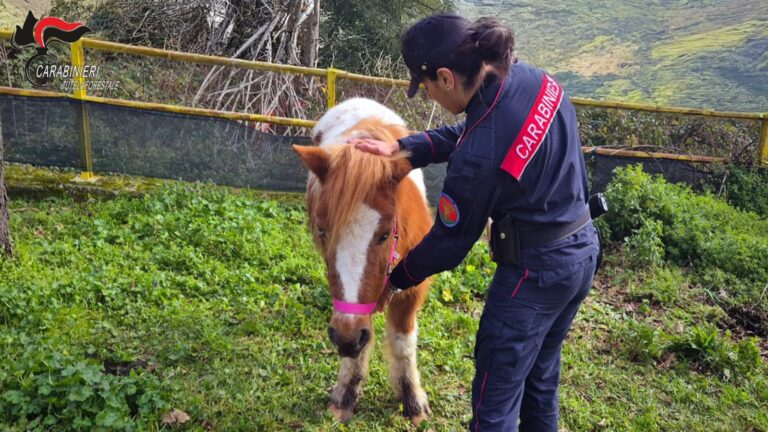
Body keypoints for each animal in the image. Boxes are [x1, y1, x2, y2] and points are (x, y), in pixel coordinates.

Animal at [292, 98, 433, 425]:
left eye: (384, 234)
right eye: (322, 231)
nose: (344, 337)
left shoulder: (412, 290)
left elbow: (403, 344)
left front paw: (412, 399)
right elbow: (358, 347)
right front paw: (345, 396)